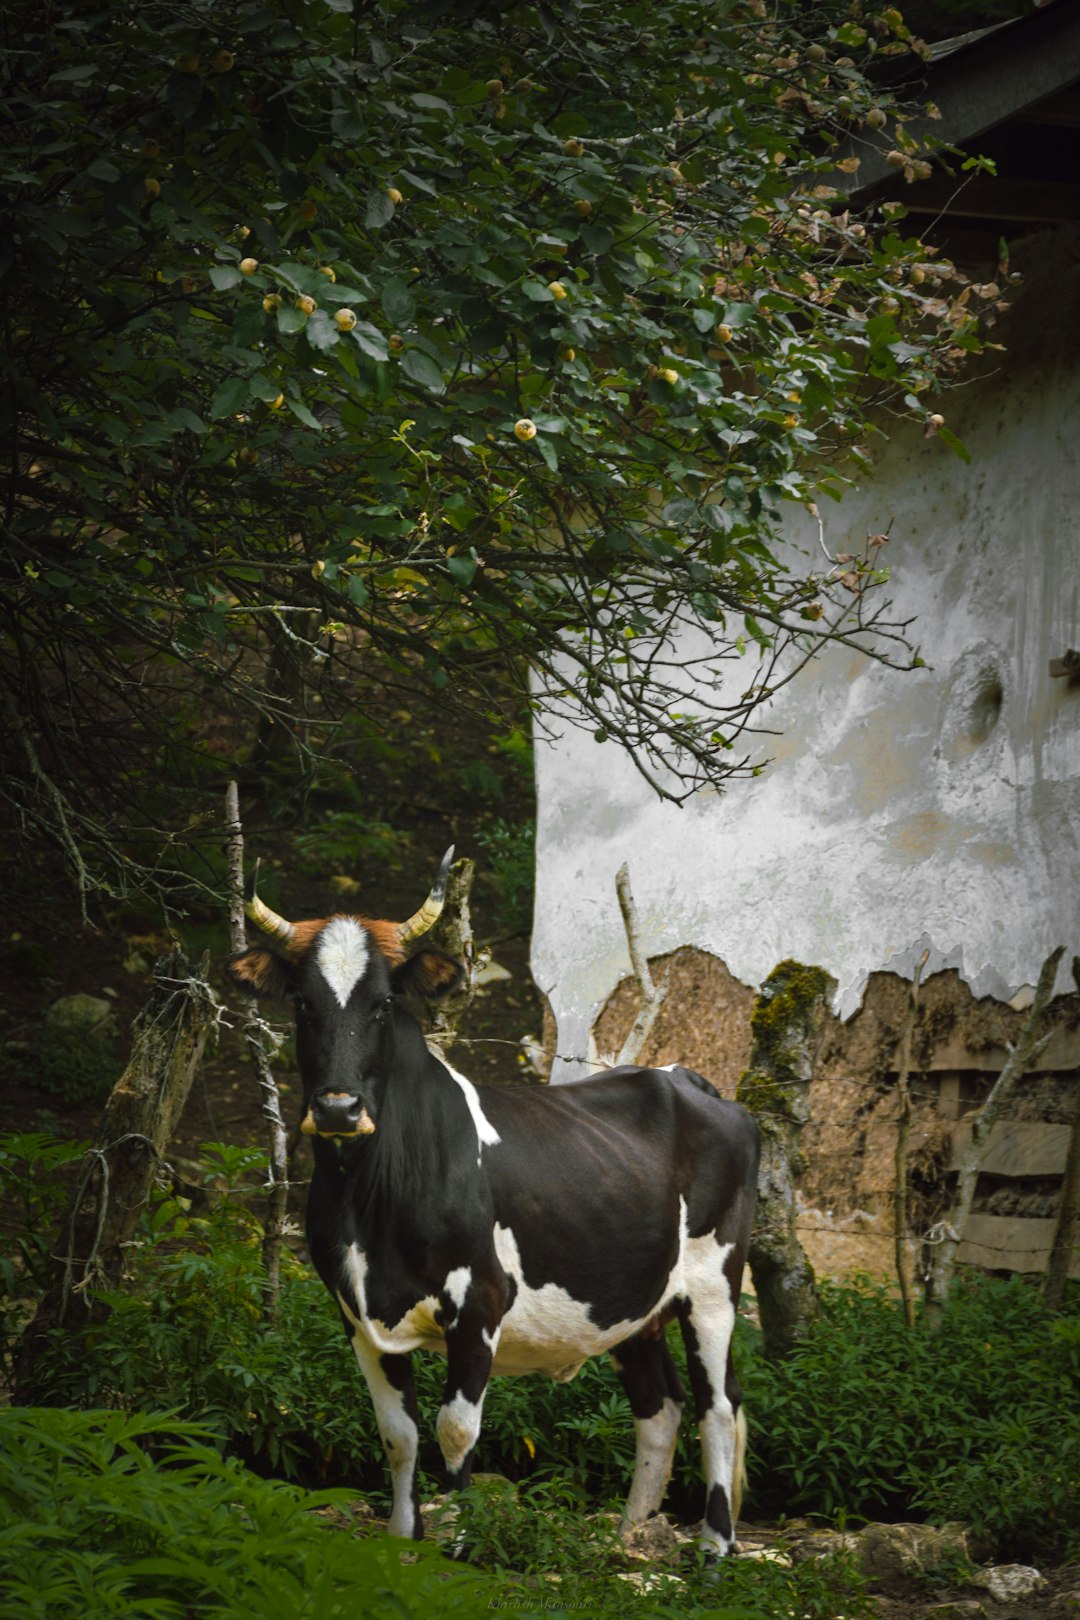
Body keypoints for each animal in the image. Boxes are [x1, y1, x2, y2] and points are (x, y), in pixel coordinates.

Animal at [226, 855, 761, 1548]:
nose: (339, 1109)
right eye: (301, 1002)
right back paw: (625, 1541)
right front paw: (402, 1539)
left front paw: (455, 1543)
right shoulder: (354, 1312)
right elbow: (398, 1435)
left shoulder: (479, 1300)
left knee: (718, 1405)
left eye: (383, 1003)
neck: (370, 1201)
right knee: (660, 1407)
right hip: (632, 1301)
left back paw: (715, 1547)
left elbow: (455, 1430)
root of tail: (686, 1078)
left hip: (715, 1286)